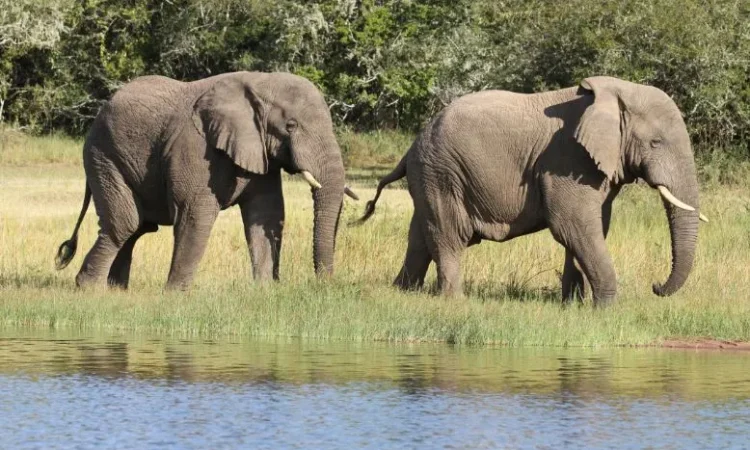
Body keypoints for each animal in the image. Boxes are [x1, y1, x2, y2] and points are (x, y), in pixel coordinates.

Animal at [55, 71, 358, 290]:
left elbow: (266, 214)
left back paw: (117, 290)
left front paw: (265, 290)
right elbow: (195, 214)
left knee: (137, 227)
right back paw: (89, 289)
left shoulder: (258, 151)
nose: (324, 285)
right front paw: (175, 295)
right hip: (103, 156)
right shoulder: (195, 148)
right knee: (125, 223)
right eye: (291, 126)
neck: (260, 82)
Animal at [359, 76, 708, 306]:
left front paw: (573, 305)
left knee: (420, 235)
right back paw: (454, 302)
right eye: (655, 143)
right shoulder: (566, 158)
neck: (616, 92)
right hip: (442, 172)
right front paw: (606, 310)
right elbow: (571, 224)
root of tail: (411, 146)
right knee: (449, 235)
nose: (655, 286)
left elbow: (590, 228)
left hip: (430, 175)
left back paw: (404, 293)